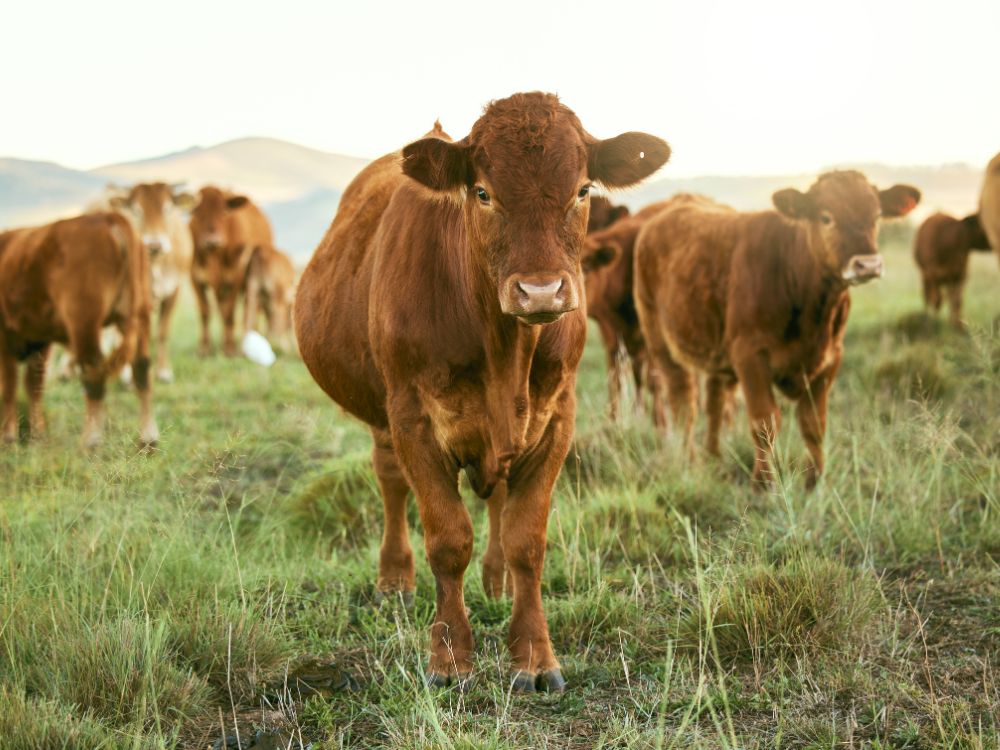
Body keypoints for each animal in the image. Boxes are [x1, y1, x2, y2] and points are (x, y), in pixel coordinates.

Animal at [0, 212, 158, 446]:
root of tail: (106, 217)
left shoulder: (6, 337)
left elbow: (9, 387)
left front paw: (8, 438)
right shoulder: (40, 339)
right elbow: (33, 385)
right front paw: (38, 435)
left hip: (84, 321)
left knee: (94, 374)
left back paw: (90, 443)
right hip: (140, 315)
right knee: (141, 369)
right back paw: (148, 441)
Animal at [108, 182, 196, 382]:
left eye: (167, 208)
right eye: (136, 210)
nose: (154, 244)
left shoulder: (174, 290)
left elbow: (162, 331)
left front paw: (163, 371)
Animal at [187, 185, 274, 356]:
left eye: (224, 211)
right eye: (197, 212)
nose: (212, 241)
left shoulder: (235, 278)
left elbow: (229, 312)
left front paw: (229, 348)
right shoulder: (195, 279)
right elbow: (205, 311)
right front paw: (204, 348)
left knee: (250, 310)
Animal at [294, 94, 672, 692]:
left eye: (582, 189)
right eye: (483, 192)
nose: (540, 290)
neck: (504, 352)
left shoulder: (556, 419)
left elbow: (526, 540)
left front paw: (535, 657)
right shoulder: (413, 419)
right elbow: (448, 540)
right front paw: (450, 659)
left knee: (495, 499)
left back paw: (496, 582)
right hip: (382, 413)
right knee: (390, 480)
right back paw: (394, 580)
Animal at [636, 170, 916, 490]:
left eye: (877, 214)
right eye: (826, 216)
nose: (867, 264)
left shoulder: (831, 359)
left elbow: (813, 422)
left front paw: (814, 481)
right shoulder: (749, 356)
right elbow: (765, 422)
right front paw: (763, 483)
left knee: (714, 402)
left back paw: (714, 457)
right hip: (660, 342)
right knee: (683, 402)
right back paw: (690, 462)